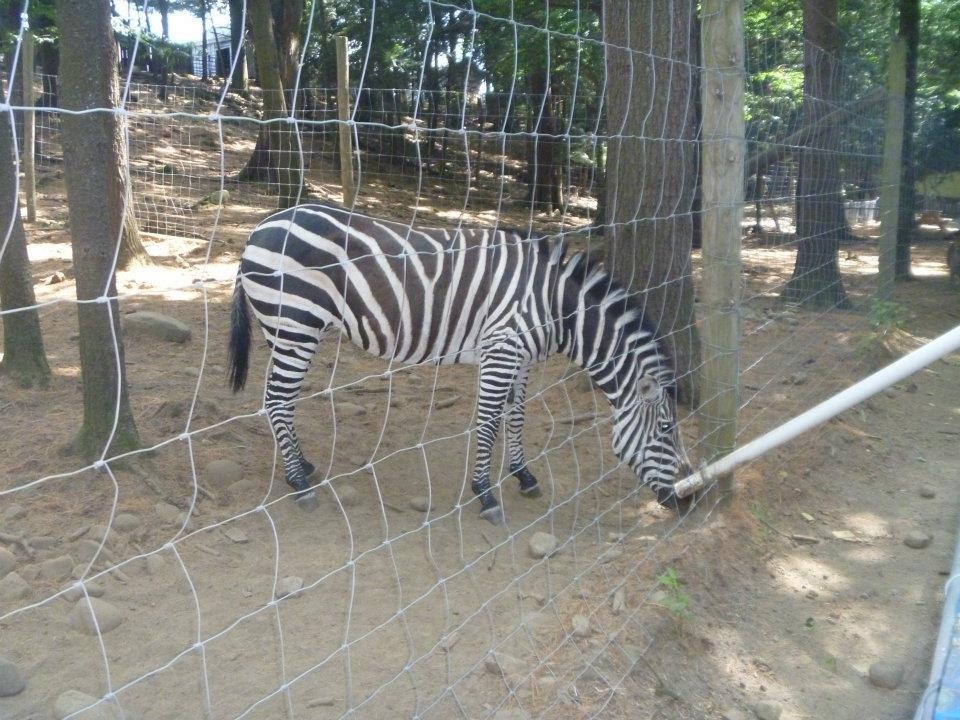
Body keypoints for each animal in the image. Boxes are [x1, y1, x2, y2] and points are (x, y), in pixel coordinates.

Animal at [228, 204, 692, 523]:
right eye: (666, 430)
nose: (688, 501)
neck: (556, 308)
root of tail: (261, 226)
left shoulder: (522, 358)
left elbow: (516, 415)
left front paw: (523, 475)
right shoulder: (501, 350)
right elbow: (488, 420)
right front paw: (485, 493)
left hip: (284, 331)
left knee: (282, 400)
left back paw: (302, 465)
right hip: (295, 323)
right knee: (275, 399)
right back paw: (299, 483)